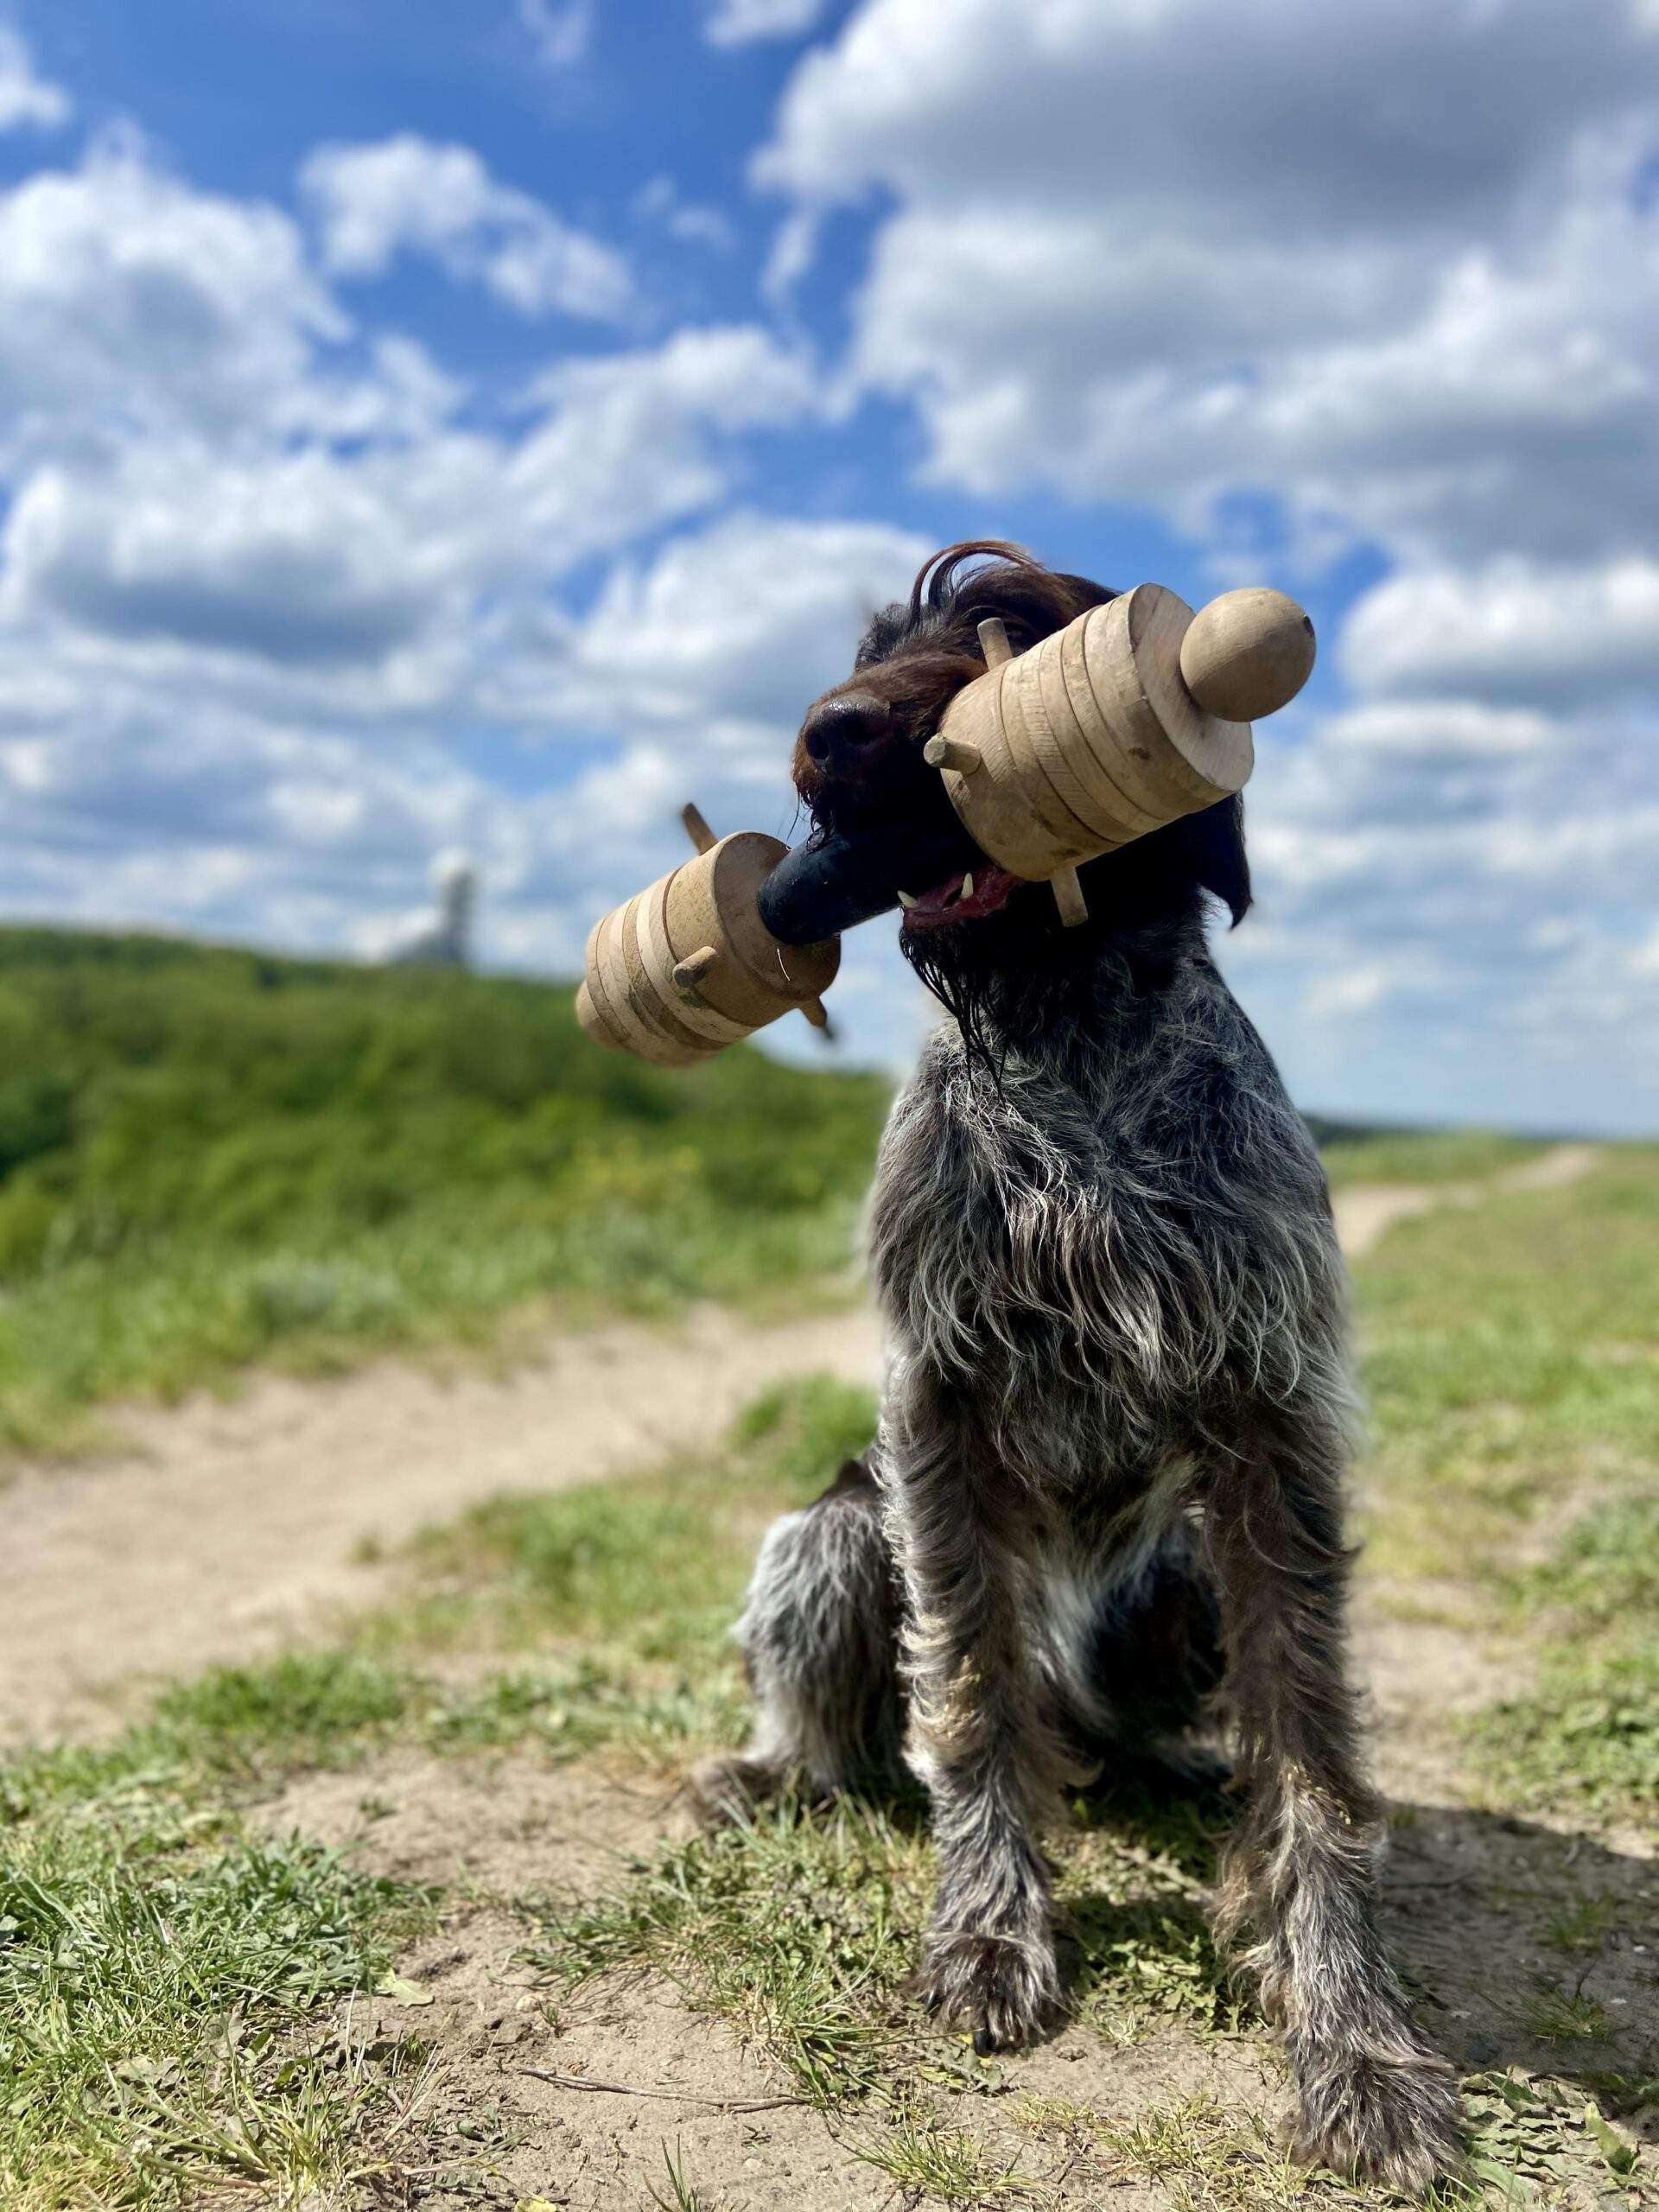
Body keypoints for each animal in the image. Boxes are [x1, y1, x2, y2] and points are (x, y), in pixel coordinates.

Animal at [694, 543, 1459, 2185]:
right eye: (871, 645)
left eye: (1011, 626)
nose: (828, 734)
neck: (1067, 1040)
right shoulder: (938, 1407)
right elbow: (971, 1698)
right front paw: (990, 1937)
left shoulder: (1272, 1425)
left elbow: (1313, 1751)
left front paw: (1354, 2036)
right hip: (835, 1535)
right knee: (877, 1705)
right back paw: (773, 1771)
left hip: (1175, 1585)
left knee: (1133, 1723)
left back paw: (1173, 1770)